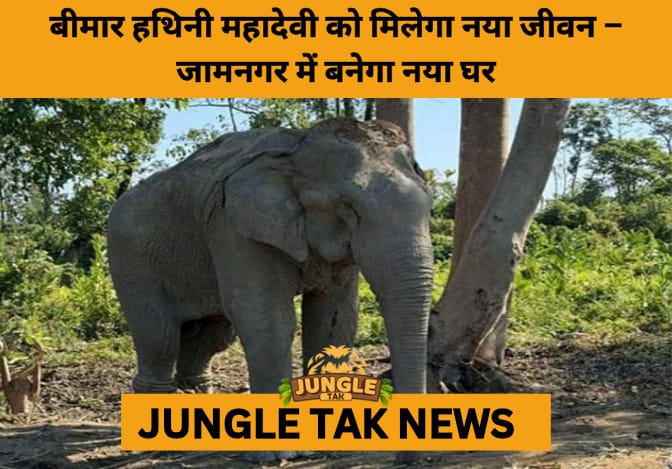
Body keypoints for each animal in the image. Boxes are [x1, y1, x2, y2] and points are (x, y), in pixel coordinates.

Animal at [107, 117, 434, 397]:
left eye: (430, 205)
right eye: (349, 207)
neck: (298, 146)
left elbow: (335, 317)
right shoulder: (233, 227)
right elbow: (265, 316)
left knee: (210, 335)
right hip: (130, 258)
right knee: (158, 335)